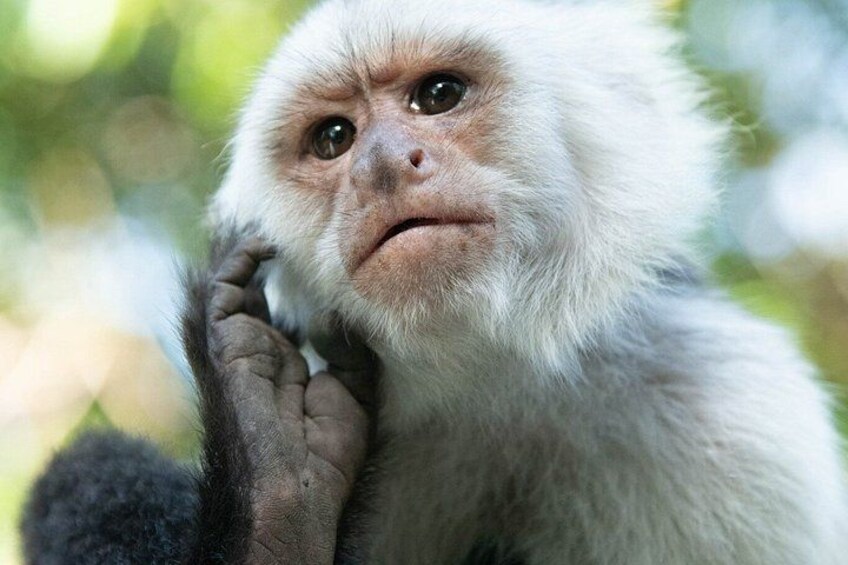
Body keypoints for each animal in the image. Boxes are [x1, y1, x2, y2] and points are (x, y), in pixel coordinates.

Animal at [21, 0, 848, 563]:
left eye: (439, 94)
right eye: (334, 138)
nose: (384, 164)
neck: (490, 385)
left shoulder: (735, 424)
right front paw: (277, 460)